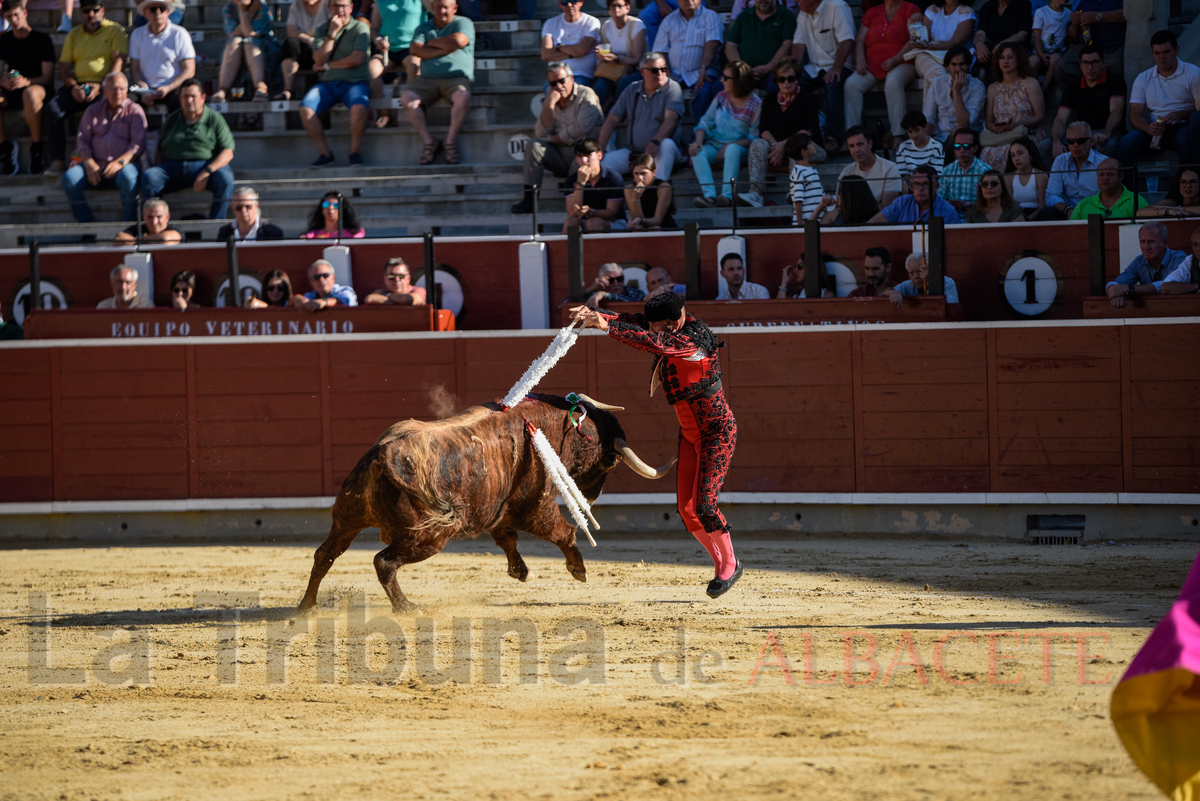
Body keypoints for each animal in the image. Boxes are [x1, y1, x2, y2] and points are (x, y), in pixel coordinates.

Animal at [294, 393, 672, 613]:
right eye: (610, 463)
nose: (593, 496)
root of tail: (384, 454)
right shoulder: (537, 504)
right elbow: (562, 532)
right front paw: (578, 570)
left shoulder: (498, 510)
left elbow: (507, 539)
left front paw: (520, 571)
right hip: (428, 536)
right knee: (383, 562)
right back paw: (406, 607)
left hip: (348, 518)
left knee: (324, 555)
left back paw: (306, 607)